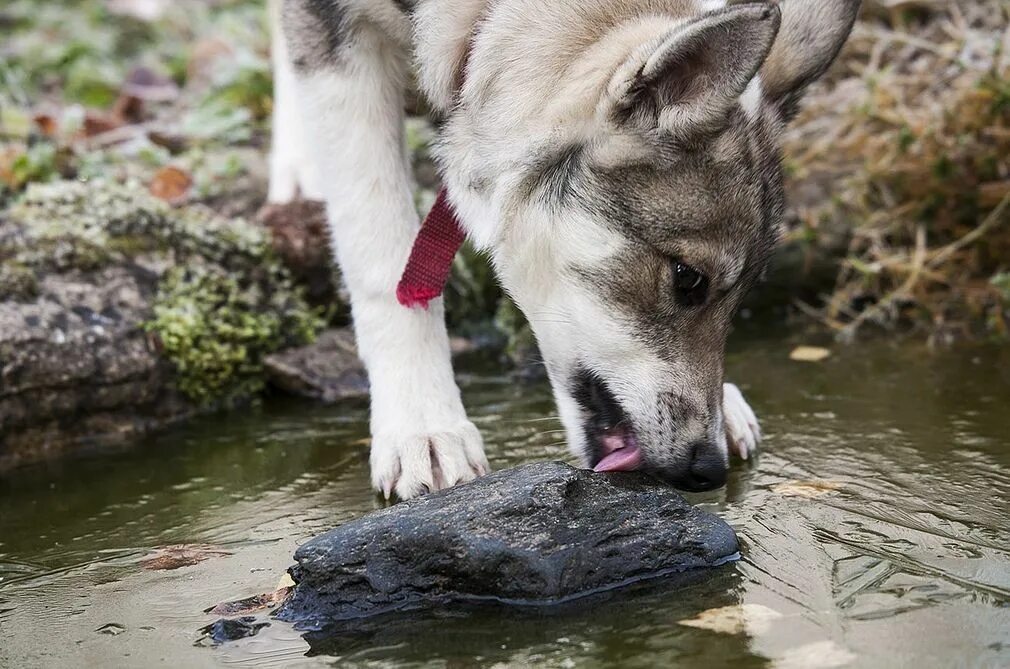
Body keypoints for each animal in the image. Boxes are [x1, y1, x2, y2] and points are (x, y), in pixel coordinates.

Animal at [266, 0, 860, 497]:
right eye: (688, 279)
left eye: (741, 301)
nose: (708, 469)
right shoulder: (341, 44)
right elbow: (380, 254)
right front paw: (424, 426)